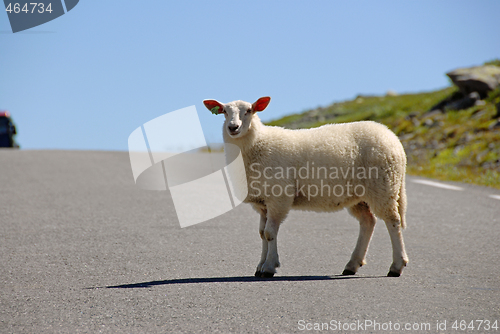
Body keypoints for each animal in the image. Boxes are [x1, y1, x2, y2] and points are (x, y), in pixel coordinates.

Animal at [203, 97, 410, 280]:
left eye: (248, 110)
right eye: (224, 112)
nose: (233, 127)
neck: (257, 144)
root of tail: (393, 138)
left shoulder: (279, 197)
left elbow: (270, 233)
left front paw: (269, 267)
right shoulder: (263, 202)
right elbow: (262, 234)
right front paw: (260, 266)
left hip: (383, 186)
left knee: (393, 221)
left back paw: (396, 266)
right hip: (360, 195)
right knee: (368, 222)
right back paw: (352, 265)